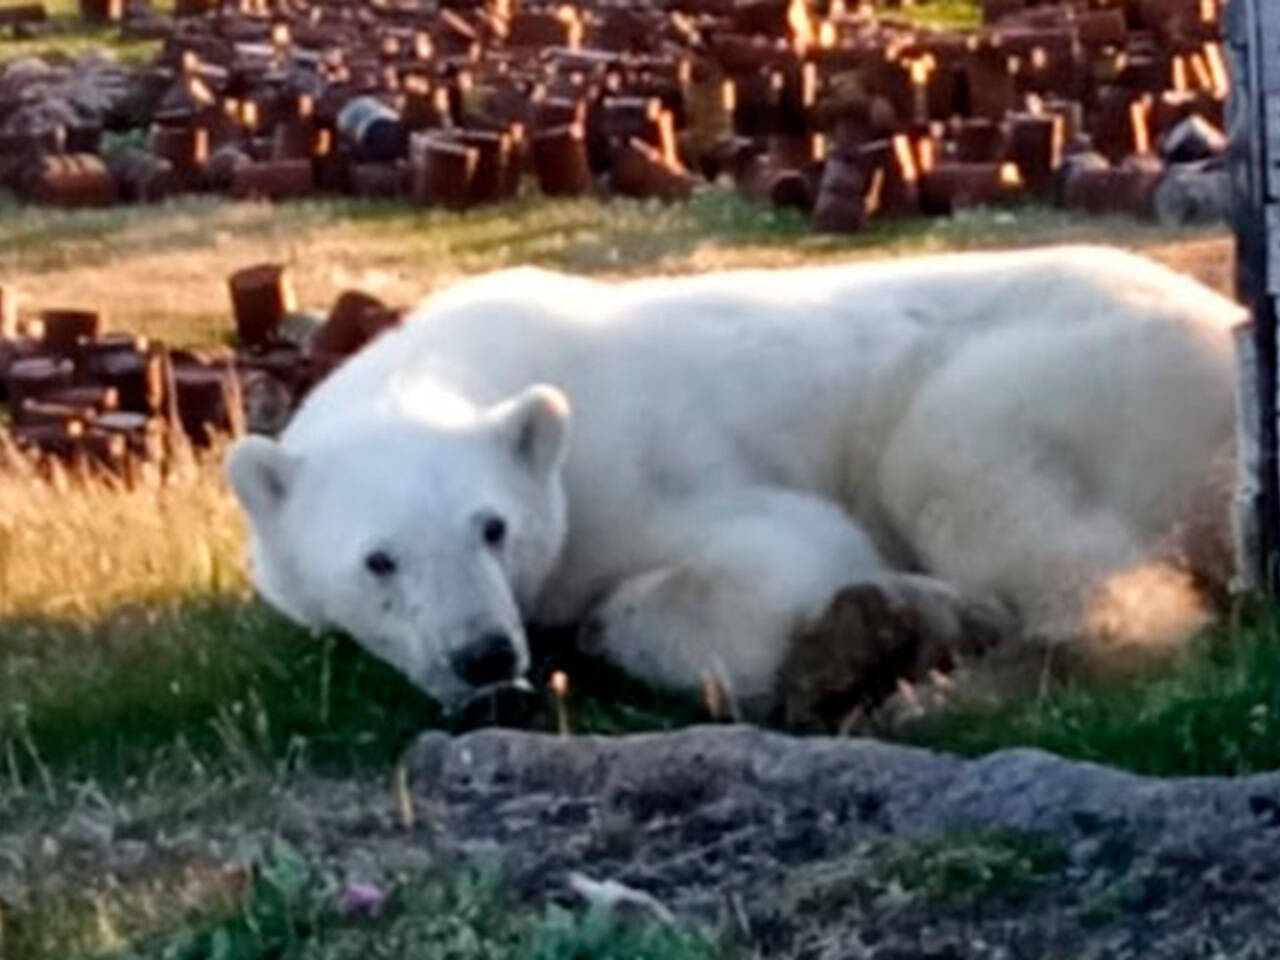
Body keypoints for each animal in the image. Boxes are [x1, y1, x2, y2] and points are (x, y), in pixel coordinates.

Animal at [225, 248, 1244, 721]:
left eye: (493, 526)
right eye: (379, 560)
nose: (484, 655)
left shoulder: (639, 467)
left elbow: (778, 559)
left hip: (1081, 371)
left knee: (966, 469)